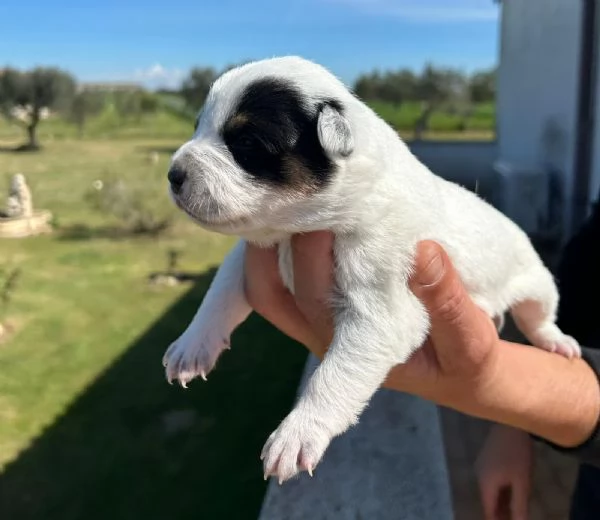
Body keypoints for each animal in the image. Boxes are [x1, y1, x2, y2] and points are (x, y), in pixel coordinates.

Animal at [161, 55, 580, 484]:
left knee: (538, 317)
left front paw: (297, 432)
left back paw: (557, 341)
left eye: (245, 142)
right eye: (198, 126)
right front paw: (192, 346)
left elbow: (334, 374)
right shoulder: (247, 253)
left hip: (538, 282)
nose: (173, 175)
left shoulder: (381, 299)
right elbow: (218, 295)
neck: (297, 230)